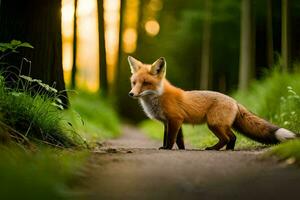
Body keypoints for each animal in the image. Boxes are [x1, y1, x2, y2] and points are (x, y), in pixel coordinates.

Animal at [126, 55, 296, 149]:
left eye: (146, 83)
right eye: (134, 82)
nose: (131, 94)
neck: (158, 97)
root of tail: (234, 100)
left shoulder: (175, 119)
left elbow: (171, 139)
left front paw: (167, 149)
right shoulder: (169, 122)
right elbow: (178, 140)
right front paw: (178, 149)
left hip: (213, 124)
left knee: (227, 138)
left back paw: (213, 149)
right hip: (220, 125)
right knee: (233, 137)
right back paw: (228, 150)